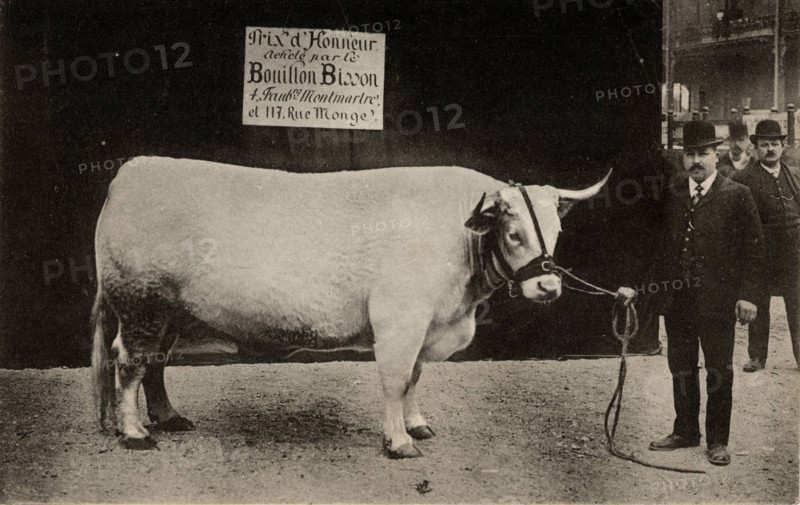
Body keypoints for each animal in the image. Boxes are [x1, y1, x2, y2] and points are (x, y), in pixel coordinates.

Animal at [90, 157, 610, 458]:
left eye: (557, 231)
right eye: (514, 232)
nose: (548, 286)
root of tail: (132, 171)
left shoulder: (425, 323)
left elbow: (416, 376)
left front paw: (417, 425)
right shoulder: (401, 317)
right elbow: (396, 379)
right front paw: (398, 441)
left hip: (170, 310)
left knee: (156, 363)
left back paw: (169, 417)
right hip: (140, 303)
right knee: (130, 361)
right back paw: (135, 433)